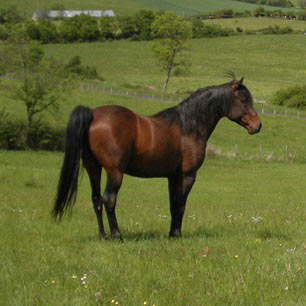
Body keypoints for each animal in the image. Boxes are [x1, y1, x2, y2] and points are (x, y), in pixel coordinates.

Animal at [52, 78, 260, 239]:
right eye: (243, 99)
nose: (258, 125)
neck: (188, 127)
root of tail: (93, 114)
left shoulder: (172, 176)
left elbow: (173, 204)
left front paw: (171, 234)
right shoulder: (188, 175)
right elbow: (181, 205)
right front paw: (176, 234)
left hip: (93, 168)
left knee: (96, 200)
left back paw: (103, 236)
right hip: (115, 172)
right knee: (108, 199)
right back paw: (117, 235)